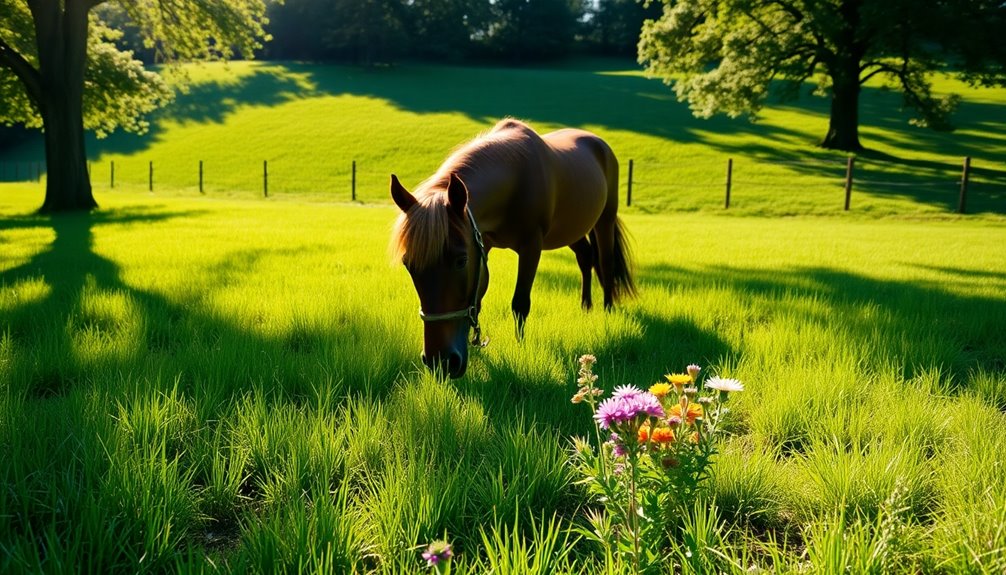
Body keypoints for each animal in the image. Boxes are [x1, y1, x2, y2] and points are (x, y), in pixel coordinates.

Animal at [388, 118, 631, 377]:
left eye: (461, 260)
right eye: (408, 265)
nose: (440, 361)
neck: (516, 180)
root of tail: (599, 143)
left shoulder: (531, 246)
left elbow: (520, 303)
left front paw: (520, 347)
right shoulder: (484, 244)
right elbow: (478, 301)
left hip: (605, 220)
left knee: (605, 263)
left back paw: (607, 311)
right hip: (572, 229)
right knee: (585, 258)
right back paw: (586, 307)